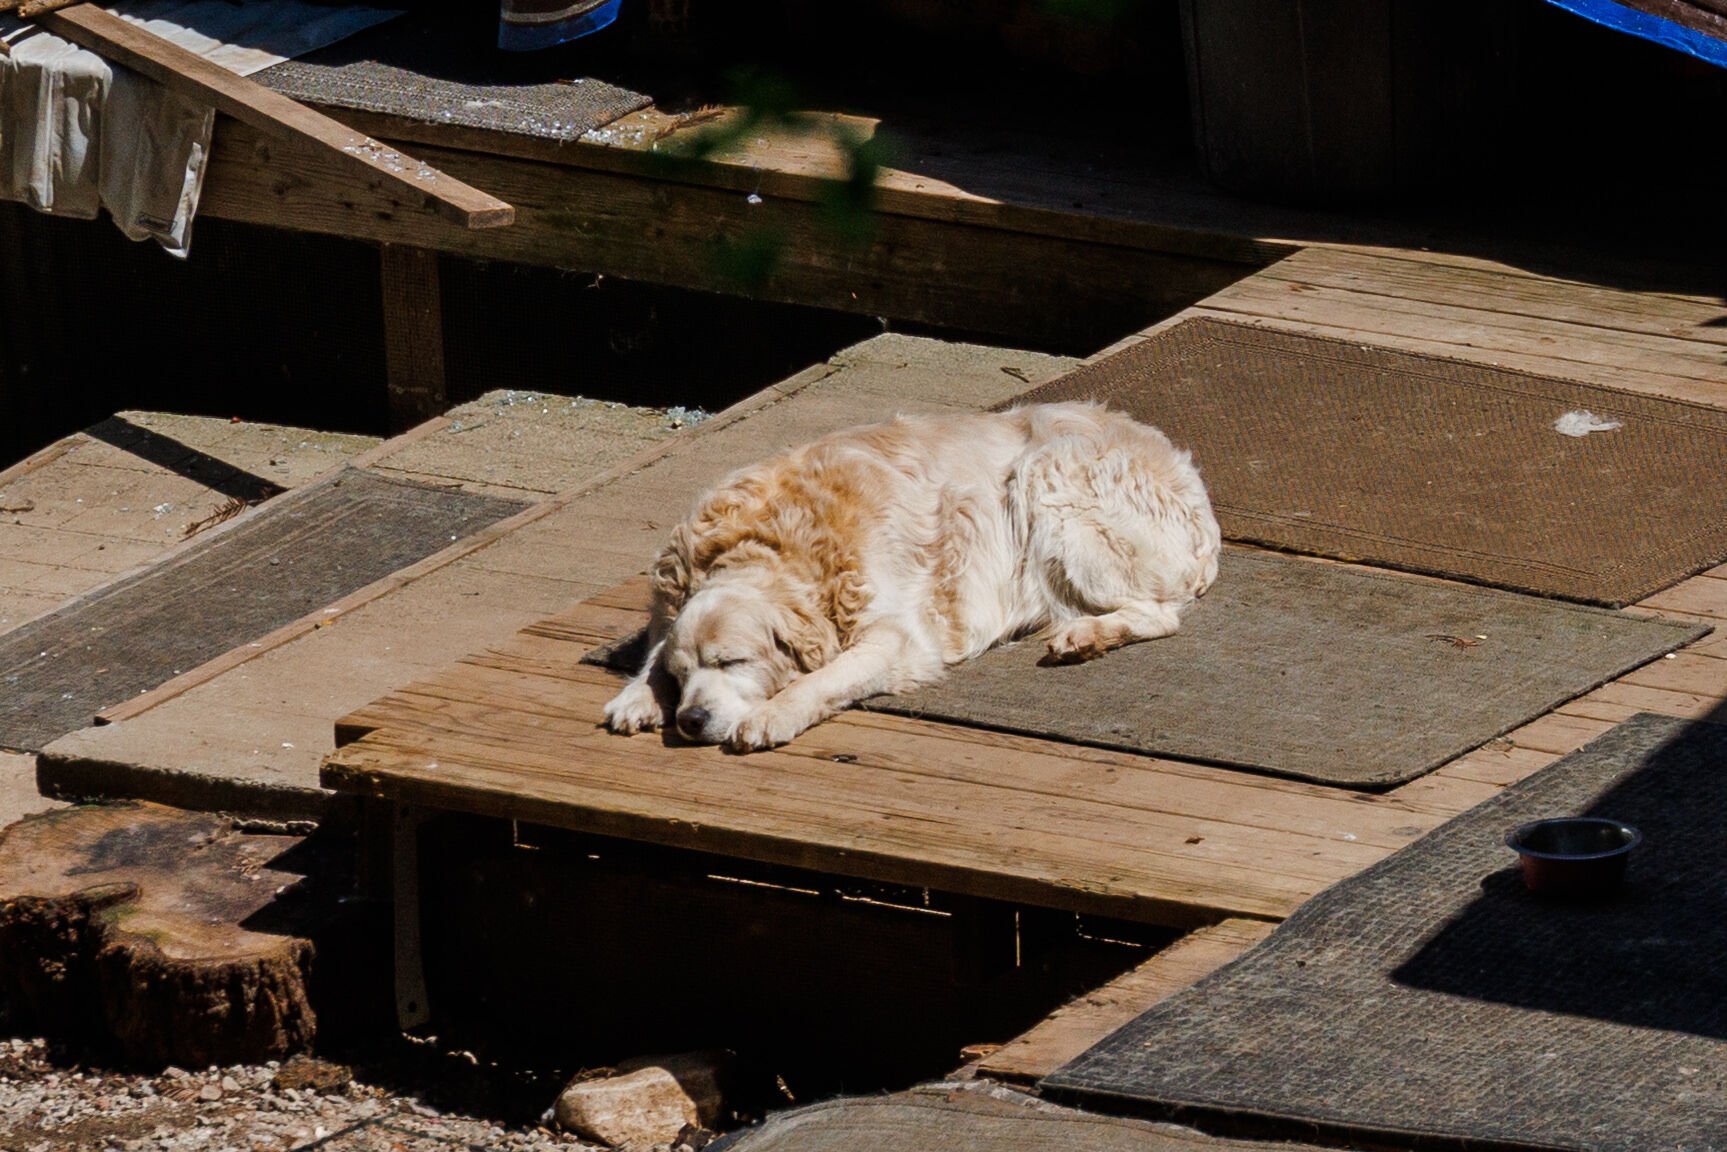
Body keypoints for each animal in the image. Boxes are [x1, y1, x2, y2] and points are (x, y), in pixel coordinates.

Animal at [600, 400, 1222, 753]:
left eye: (733, 662)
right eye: (683, 674)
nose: (691, 719)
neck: (777, 542)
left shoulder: (897, 638)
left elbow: (823, 678)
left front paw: (773, 714)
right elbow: (653, 650)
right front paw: (639, 695)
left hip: (1048, 475)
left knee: (1159, 613)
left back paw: (1086, 635)